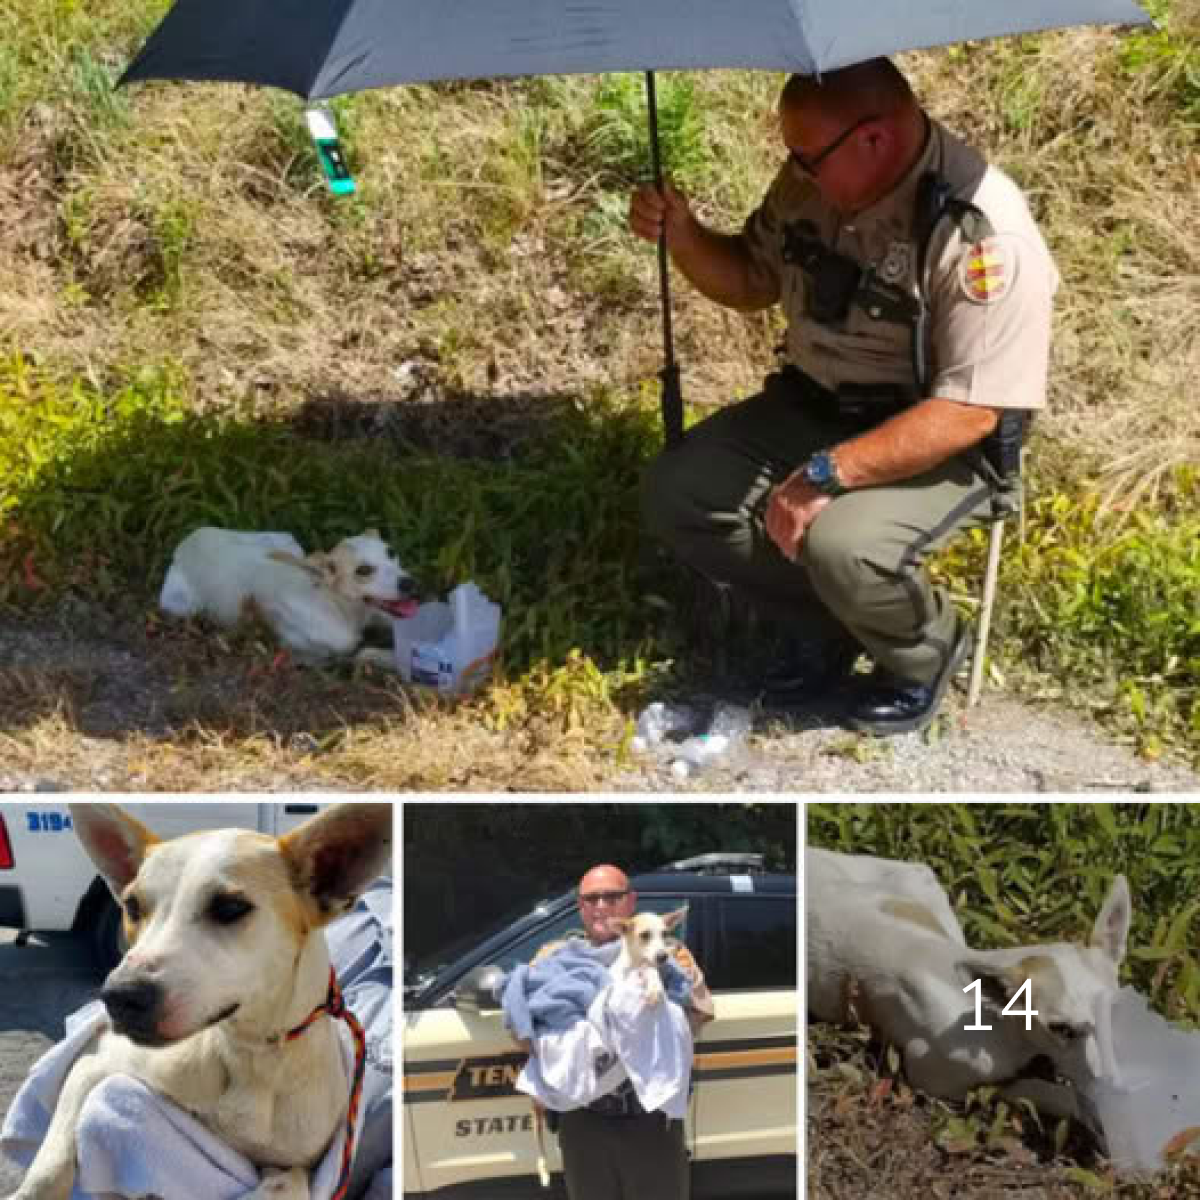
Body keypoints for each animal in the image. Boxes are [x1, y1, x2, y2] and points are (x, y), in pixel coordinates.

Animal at [2, 801, 391, 1200]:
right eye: (132, 906)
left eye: (230, 908)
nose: (119, 997)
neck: (248, 1056)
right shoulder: (98, 1066)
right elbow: (50, 1165)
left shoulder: (304, 1162)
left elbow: (290, 1183)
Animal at [159, 528, 420, 667]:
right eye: (363, 570)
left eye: (391, 553)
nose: (409, 583)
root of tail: (189, 540)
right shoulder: (318, 655)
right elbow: (365, 654)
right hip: (179, 606)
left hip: (285, 542)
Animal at [801, 844, 1128, 1113]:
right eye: (1061, 1029)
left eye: (1119, 1013)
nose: (1115, 1086)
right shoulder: (931, 1076)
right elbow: (1036, 1090)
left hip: (921, 885)